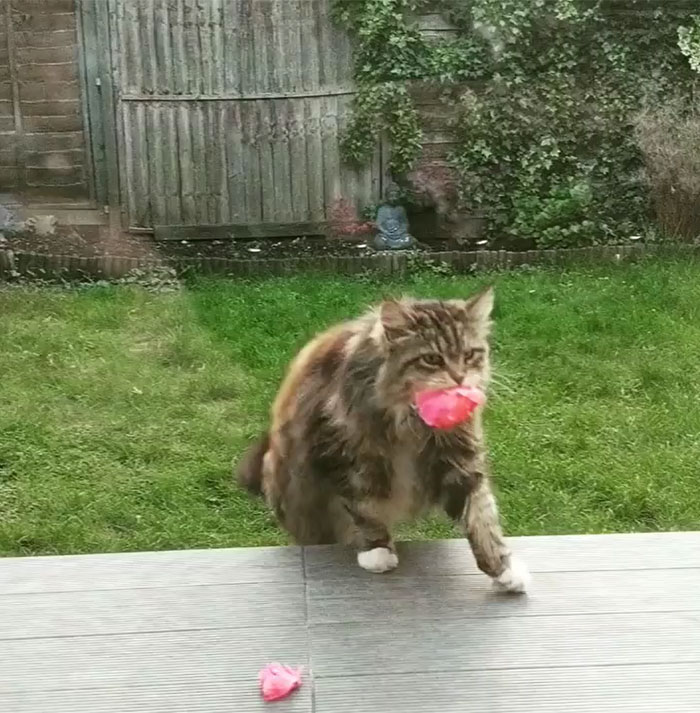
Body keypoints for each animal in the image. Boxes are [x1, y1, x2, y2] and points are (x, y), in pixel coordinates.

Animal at [238, 286, 528, 592]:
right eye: (432, 359)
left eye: (470, 354)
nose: (460, 378)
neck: (410, 421)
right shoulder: (344, 456)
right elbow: (364, 508)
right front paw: (377, 551)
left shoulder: (459, 460)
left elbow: (482, 518)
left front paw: (504, 569)